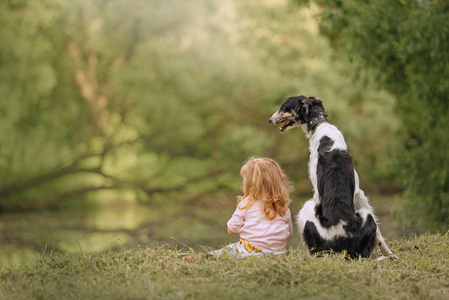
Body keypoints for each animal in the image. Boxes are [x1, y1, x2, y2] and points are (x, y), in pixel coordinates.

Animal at [268, 95, 394, 258]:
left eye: (285, 105)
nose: (270, 120)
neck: (321, 127)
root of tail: (340, 241)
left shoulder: (318, 193)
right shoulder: (358, 191)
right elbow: (379, 232)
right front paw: (389, 252)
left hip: (307, 207)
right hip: (366, 215)